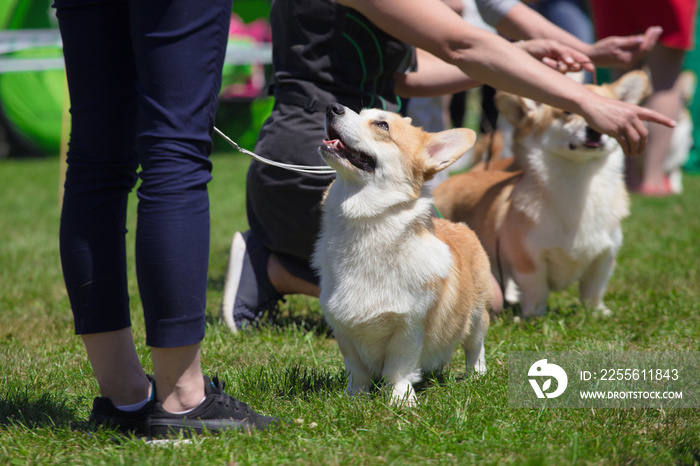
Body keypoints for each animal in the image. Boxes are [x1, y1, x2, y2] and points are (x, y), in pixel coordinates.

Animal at [312, 103, 492, 404]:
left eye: (382, 125)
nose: (332, 107)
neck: (366, 227)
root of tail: (458, 225)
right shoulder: (342, 328)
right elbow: (356, 370)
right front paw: (354, 397)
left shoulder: (408, 328)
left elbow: (398, 368)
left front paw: (401, 400)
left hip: (477, 316)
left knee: (474, 347)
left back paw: (476, 376)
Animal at [432, 70, 652, 316]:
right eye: (567, 111)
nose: (594, 130)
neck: (579, 179)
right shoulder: (529, 259)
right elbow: (536, 290)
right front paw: (534, 315)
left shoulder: (604, 255)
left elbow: (594, 288)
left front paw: (597, 312)